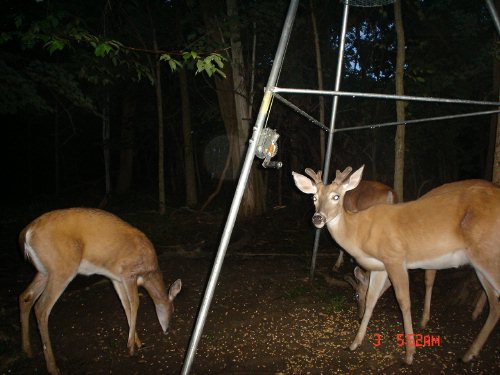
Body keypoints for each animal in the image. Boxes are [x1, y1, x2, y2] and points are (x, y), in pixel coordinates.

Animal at [20, 209, 184, 375]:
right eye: (173, 310)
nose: (168, 330)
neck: (148, 274)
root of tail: (27, 232)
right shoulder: (128, 273)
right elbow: (135, 303)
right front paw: (131, 347)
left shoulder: (116, 279)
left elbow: (126, 306)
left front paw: (136, 342)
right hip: (62, 268)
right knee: (41, 308)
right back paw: (53, 367)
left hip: (44, 271)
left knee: (25, 296)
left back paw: (27, 351)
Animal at [292, 167, 500, 364]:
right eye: (314, 197)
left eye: (336, 196)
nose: (317, 218)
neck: (359, 233)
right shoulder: (380, 266)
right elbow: (372, 299)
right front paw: (354, 343)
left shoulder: (395, 258)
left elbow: (403, 302)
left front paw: (409, 354)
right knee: (495, 305)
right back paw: (469, 353)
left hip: (488, 252)